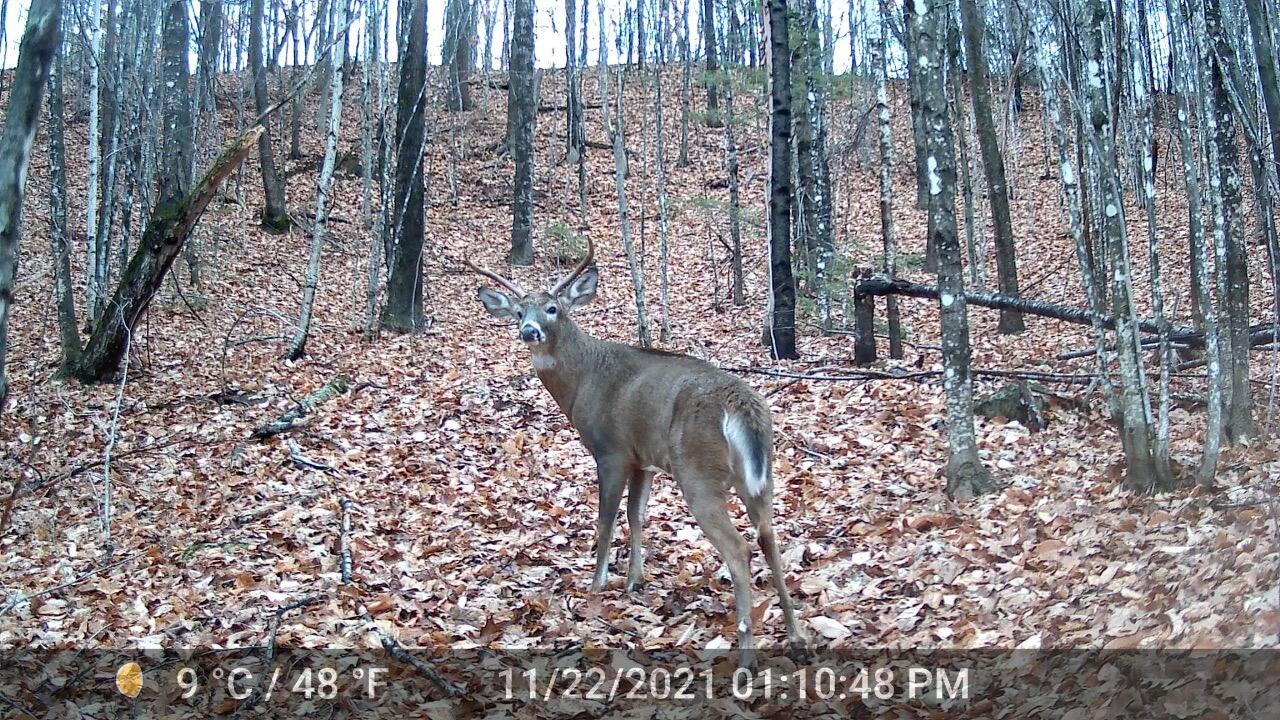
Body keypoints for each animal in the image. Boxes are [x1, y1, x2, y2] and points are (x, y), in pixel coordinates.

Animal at [466, 238, 806, 665]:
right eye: (517, 311)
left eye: (553, 308)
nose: (529, 330)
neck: (582, 381)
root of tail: (742, 405)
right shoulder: (644, 457)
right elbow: (637, 515)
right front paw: (634, 580)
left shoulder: (611, 449)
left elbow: (606, 518)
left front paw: (597, 583)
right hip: (759, 477)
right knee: (768, 537)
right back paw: (795, 635)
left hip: (698, 472)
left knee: (738, 547)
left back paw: (746, 652)